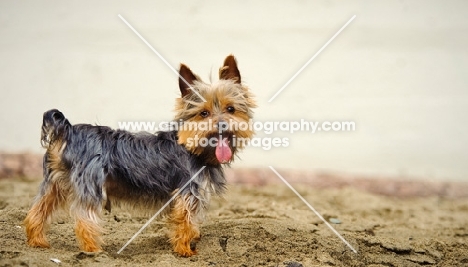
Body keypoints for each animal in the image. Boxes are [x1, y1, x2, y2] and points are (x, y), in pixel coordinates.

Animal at [24, 55, 256, 258]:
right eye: (204, 113)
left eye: (230, 109)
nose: (222, 125)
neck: (195, 149)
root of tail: (69, 130)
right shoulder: (187, 192)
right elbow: (185, 222)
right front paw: (185, 251)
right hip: (91, 184)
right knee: (84, 220)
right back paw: (94, 251)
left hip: (54, 183)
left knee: (37, 211)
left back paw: (37, 242)